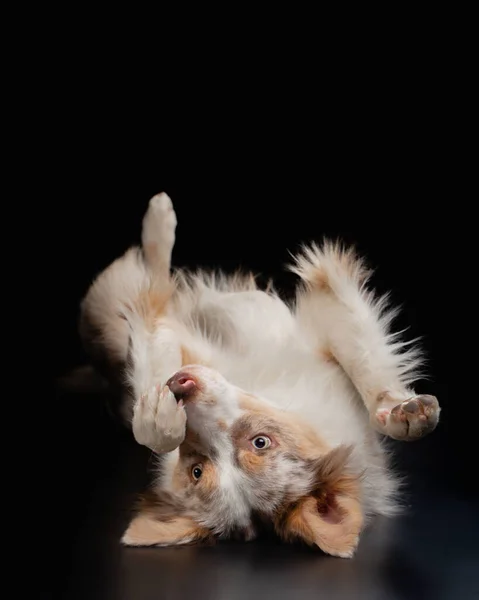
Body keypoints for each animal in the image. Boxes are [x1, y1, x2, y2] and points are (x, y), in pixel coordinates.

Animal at [79, 192, 442, 556]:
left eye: (260, 442)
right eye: (197, 471)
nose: (182, 387)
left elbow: (366, 363)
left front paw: (400, 413)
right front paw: (160, 418)